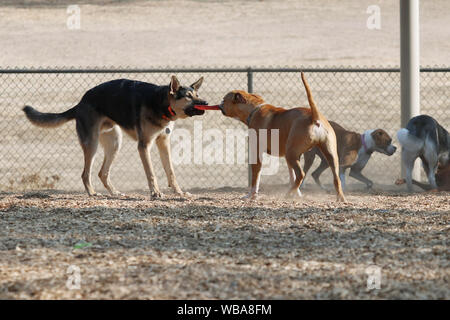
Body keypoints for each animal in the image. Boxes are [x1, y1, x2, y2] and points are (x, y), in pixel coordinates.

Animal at [23, 76, 207, 199]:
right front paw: (155, 193)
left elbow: (171, 171)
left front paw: (179, 192)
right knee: (85, 173)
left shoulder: (163, 143)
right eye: (188, 96)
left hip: (114, 144)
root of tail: (80, 103)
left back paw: (114, 192)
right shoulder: (144, 146)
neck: (162, 103)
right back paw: (92, 193)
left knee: (102, 173)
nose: (205, 102)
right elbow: (151, 173)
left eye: (197, 95)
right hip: (92, 144)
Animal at [220, 73, 346, 202]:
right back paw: (340, 197)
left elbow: (256, 178)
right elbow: (292, 176)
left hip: (292, 154)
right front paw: (297, 194)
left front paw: (252, 195)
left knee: (301, 174)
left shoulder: (257, 154)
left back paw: (288, 194)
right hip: (330, 156)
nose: (219, 104)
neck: (254, 109)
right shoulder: (289, 158)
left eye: (224, 100)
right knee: (336, 178)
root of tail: (314, 117)